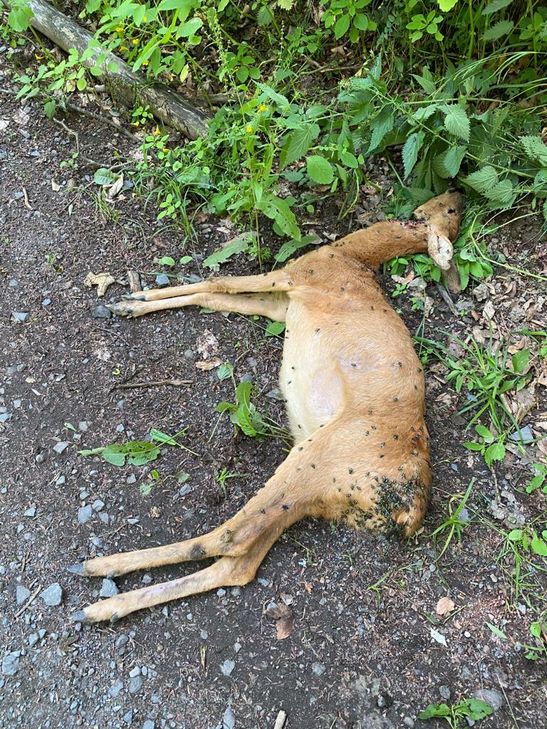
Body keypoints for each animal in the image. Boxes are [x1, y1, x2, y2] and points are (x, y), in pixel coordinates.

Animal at [70, 191, 463, 624]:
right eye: (451, 212)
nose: (459, 194)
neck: (351, 257)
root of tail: (408, 513)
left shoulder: (294, 276)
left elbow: (219, 281)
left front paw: (131, 298)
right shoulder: (280, 303)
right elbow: (214, 296)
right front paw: (132, 300)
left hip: (317, 457)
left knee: (230, 538)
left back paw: (102, 571)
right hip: (313, 494)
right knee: (242, 562)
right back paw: (109, 603)